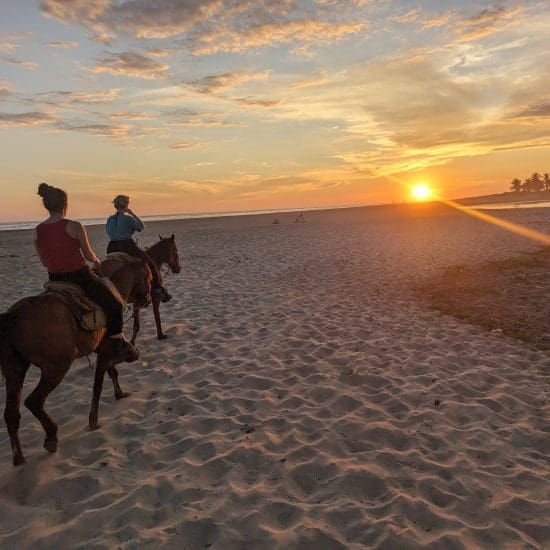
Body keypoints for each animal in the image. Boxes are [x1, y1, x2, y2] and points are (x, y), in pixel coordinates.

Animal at [0, 258, 151, 466]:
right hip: (56, 367)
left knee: (11, 414)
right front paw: (93, 420)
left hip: (14, 369)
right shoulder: (105, 350)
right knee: (34, 401)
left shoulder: (102, 348)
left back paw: (19, 460)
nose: (148, 299)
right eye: (148, 275)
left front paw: (119, 394)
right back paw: (51, 437)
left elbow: (112, 372)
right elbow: (98, 384)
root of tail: (10, 318)